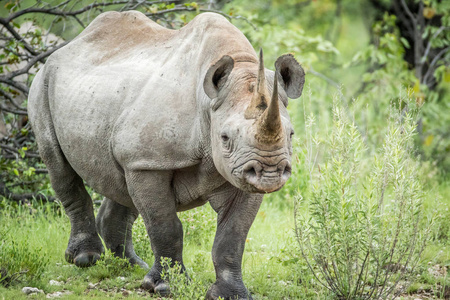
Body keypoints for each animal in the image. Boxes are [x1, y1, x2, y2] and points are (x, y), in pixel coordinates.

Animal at [26, 10, 304, 298]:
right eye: (225, 138)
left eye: (291, 135)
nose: (270, 172)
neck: (207, 105)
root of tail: (69, 45)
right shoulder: (149, 162)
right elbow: (164, 224)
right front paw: (165, 286)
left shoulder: (241, 173)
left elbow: (233, 235)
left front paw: (231, 294)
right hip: (44, 83)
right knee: (59, 165)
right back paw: (85, 259)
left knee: (120, 182)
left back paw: (130, 266)